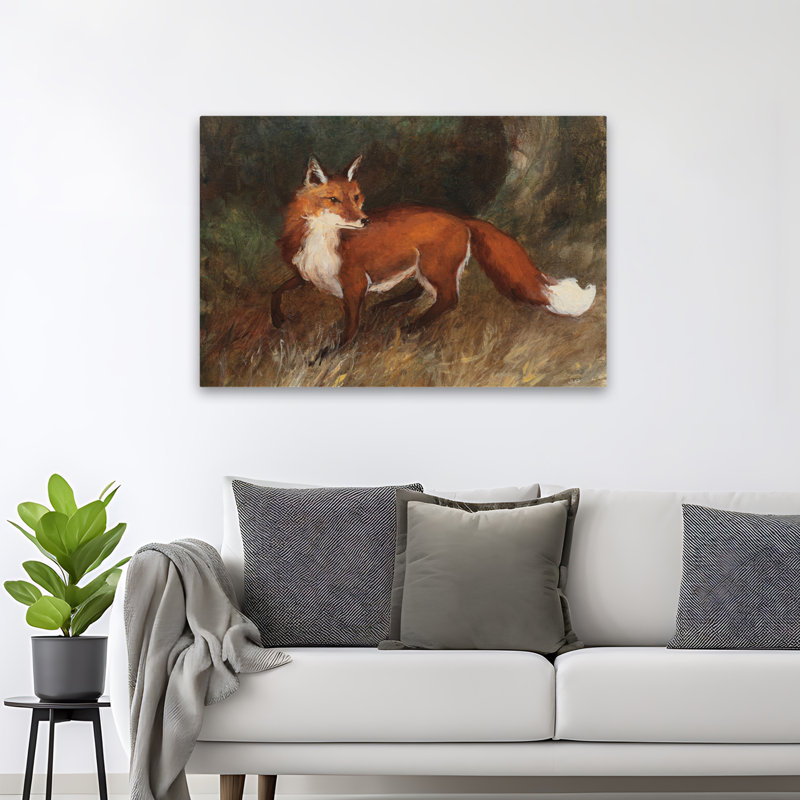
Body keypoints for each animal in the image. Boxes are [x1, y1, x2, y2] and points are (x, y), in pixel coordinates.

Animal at [271, 155, 596, 348]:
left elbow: (350, 328)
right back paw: (388, 307)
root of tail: (460, 218)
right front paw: (277, 321)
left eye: (356, 197)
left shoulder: (354, 285)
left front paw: (329, 355)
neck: (323, 242)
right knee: (422, 292)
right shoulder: (306, 275)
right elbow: (276, 290)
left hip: (433, 267)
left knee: (448, 299)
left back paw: (412, 327)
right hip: (423, 267)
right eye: (334, 200)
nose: (364, 220)